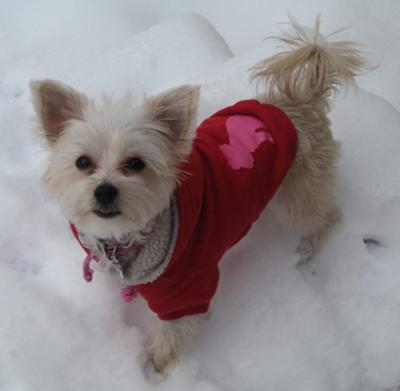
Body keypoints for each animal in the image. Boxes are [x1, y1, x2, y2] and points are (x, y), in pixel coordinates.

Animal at [30, 19, 368, 376]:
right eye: (82, 162)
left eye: (136, 163)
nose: (105, 190)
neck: (129, 237)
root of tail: (303, 100)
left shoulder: (187, 285)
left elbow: (173, 330)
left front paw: (156, 367)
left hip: (301, 193)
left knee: (326, 216)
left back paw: (310, 246)